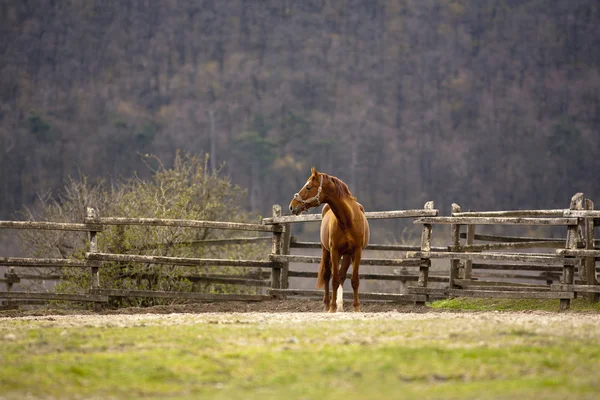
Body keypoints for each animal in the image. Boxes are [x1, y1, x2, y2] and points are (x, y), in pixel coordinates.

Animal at [288, 167, 368, 310]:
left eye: (308, 187)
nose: (292, 206)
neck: (347, 220)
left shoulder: (357, 251)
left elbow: (354, 280)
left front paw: (356, 308)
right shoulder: (334, 251)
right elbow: (334, 279)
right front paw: (332, 308)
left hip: (347, 255)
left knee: (342, 275)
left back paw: (340, 305)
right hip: (326, 251)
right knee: (327, 275)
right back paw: (327, 304)